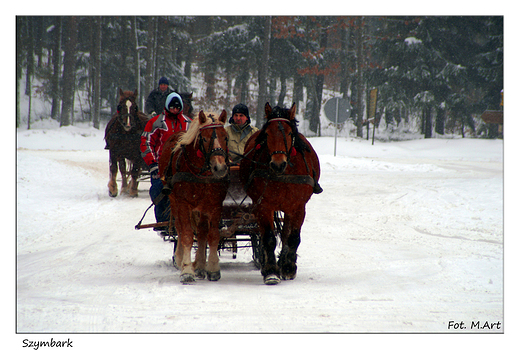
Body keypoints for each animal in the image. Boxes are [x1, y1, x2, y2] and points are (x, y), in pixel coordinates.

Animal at [158, 110, 230, 284]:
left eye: (225, 137)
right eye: (204, 138)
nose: (220, 168)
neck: (201, 174)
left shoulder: (215, 204)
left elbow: (212, 235)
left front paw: (212, 267)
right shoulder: (183, 203)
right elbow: (187, 235)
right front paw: (187, 270)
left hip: (202, 207)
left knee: (202, 231)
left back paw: (200, 265)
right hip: (174, 200)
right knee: (179, 227)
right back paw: (180, 259)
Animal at [240, 102, 320, 286]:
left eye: (290, 133)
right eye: (267, 133)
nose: (278, 164)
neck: (283, 174)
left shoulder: (298, 207)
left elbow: (293, 237)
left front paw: (288, 267)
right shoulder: (263, 205)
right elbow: (269, 237)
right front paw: (271, 271)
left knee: (285, 234)